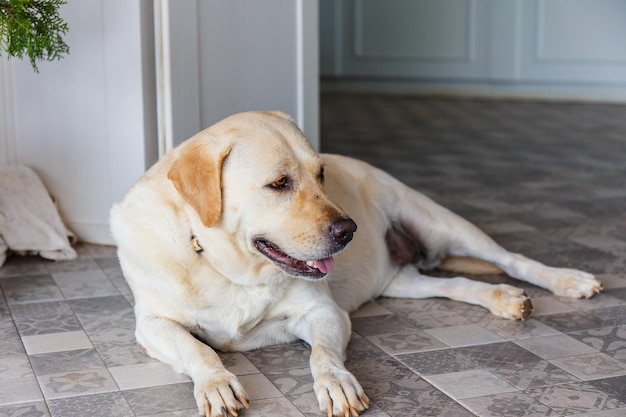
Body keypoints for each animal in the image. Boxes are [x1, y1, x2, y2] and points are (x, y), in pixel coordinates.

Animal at [109, 110, 604, 416]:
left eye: (321, 174)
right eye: (279, 183)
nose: (349, 231)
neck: (225, 266)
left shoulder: (323, 312)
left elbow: (324, 356)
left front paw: (337, 384)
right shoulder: (151, 325)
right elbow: (199, 349)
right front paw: (216, 384)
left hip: (440, 222)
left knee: (512, 259)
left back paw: (568, 280)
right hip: (403, 280)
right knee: (458, 284)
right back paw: (503, 299)